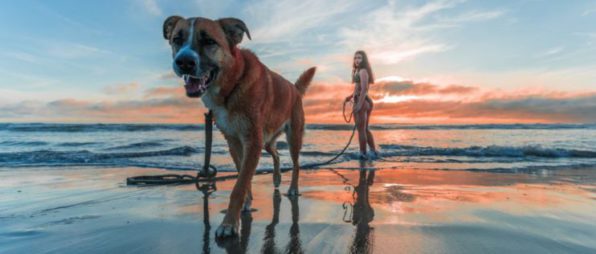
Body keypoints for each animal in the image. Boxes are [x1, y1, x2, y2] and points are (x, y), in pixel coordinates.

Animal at [161, 16, 314, 238]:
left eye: (209, 41)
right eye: (177, 39)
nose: (184, 62)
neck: (231, 86)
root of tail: (294, 88)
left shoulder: (252, 140)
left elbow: (239, 185)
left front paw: (229, 223)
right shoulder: (234, 141)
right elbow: (244, 175)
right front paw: (246, 204)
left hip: (292, 137)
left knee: (296, 163)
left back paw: (293, 188)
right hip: (266, 140)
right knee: (276, 154)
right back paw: (276, 178)